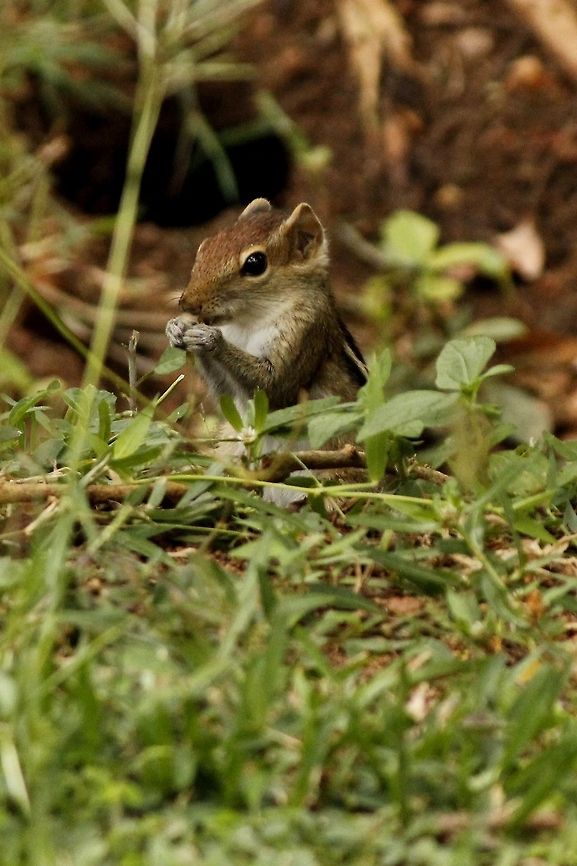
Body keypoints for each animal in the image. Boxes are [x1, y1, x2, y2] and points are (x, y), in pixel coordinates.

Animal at [166, 197, 367, 415]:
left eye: (255, 263)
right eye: (205, 245)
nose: (187, 304)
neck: (248, 321)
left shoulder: (305, 333)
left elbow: (274, 386)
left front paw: (210, 338)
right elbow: (225, 393)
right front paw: (176, 327)